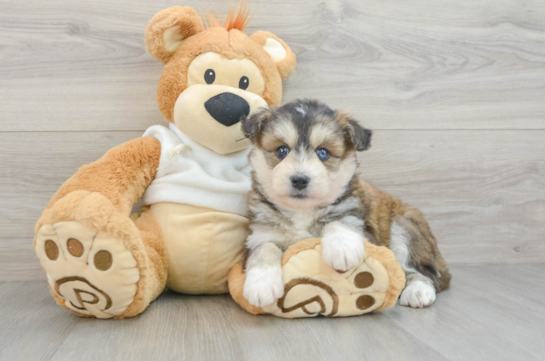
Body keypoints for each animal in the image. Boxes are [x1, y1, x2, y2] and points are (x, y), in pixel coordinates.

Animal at [240, 98, 448, 306]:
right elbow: (264, 249)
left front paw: (342, 248)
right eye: (282, 150)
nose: (299, 180)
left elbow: (339, 220)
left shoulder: (359, 223)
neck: (303, 212)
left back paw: (418, 291)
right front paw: (261, 285)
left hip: (403, 228)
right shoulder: (260, 234)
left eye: (323, 153)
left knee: (423, 273)